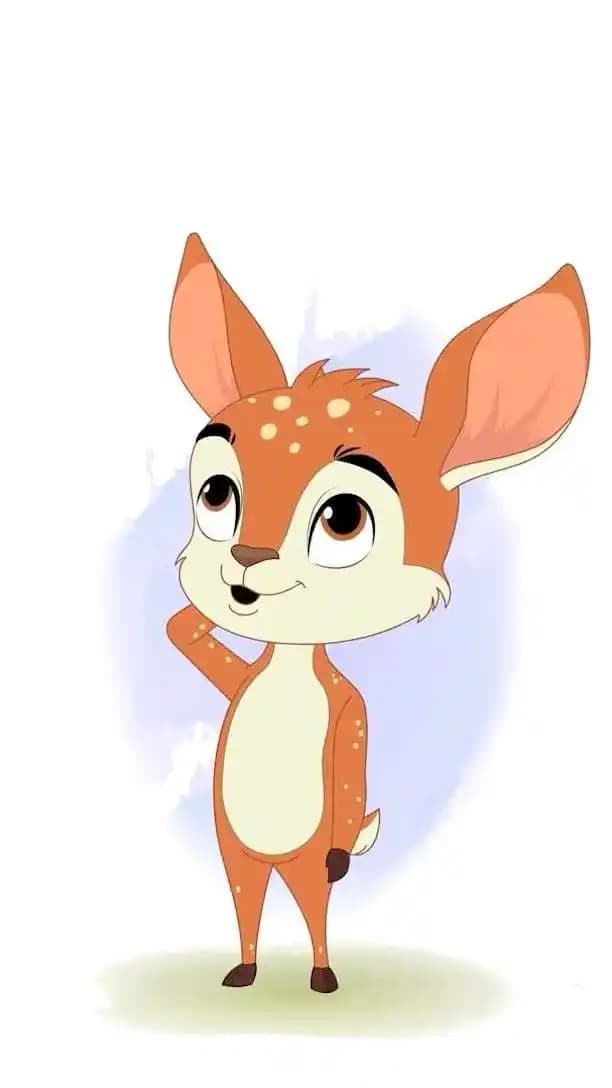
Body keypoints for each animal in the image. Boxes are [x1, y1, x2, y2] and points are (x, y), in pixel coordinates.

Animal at [165, 233, 589, 993]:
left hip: (296, 856)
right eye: (216, 493)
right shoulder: (238, 685)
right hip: (235, 847)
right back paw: (244, 971)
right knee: (248, 901)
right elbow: (185, 634)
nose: (244, 557)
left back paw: (320, 975)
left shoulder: (351, 711)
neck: (290, 669)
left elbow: (352, 761)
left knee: (313, 900)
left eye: (342, 519)